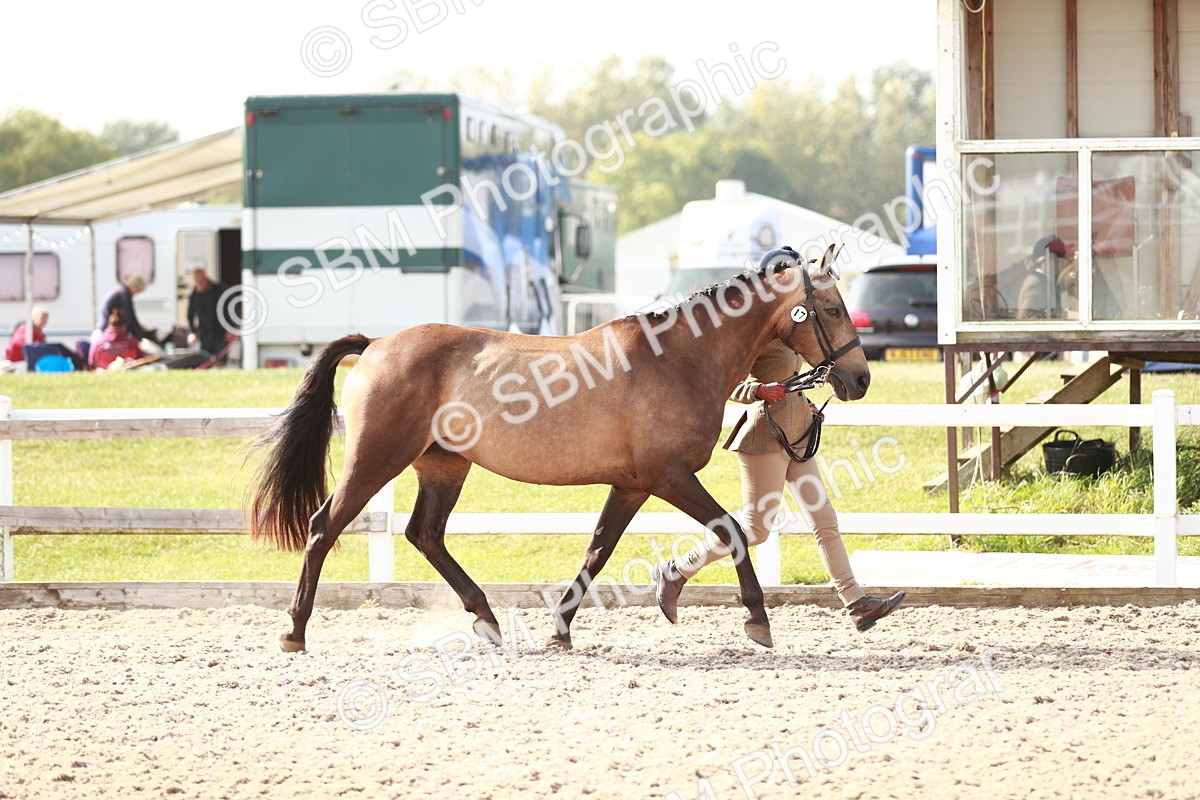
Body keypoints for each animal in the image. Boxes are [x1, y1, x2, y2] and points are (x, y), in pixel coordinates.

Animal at [248, 244, 870, 652]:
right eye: (832, 308)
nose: (860, 379)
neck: (678, 358)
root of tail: (376, 344)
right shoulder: (668, 477)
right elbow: (733, 530)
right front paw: (758, 621)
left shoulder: (632, 485)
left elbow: (597, 551)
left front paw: (561, 629)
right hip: (377, 459)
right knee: (324, 527)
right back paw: (295, 631)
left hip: (444, 466)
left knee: (425, 534)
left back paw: (488, 620)